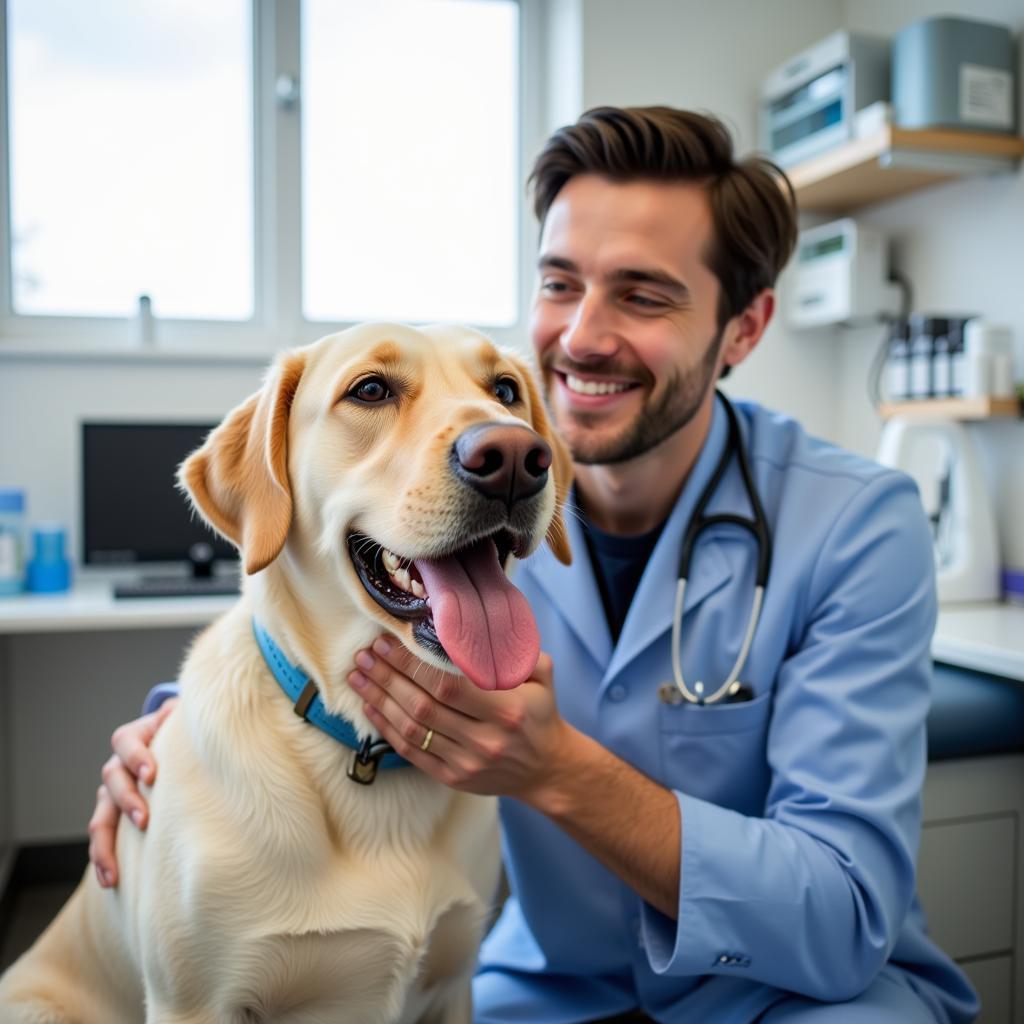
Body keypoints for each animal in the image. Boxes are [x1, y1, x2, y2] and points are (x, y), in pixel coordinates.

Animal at [0, 325, 573, 1024]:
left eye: (506, 391)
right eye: (371, 390)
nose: (517, 456)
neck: (359, 743)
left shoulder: (452, 985)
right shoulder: (192, 1004)